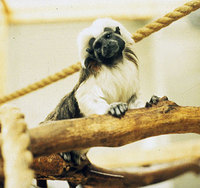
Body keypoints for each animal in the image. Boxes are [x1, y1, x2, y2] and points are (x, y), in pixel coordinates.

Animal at [45, 17, 143, 167]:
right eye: (97, 46)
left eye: (107, 36)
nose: (106, 46)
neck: (114, 63)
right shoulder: (93, 73)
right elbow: (84, 96)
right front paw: (113, 107)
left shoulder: (130, 67)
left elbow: (133, 97)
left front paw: (151, 102)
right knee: (68, 101)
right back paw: (64, 152)